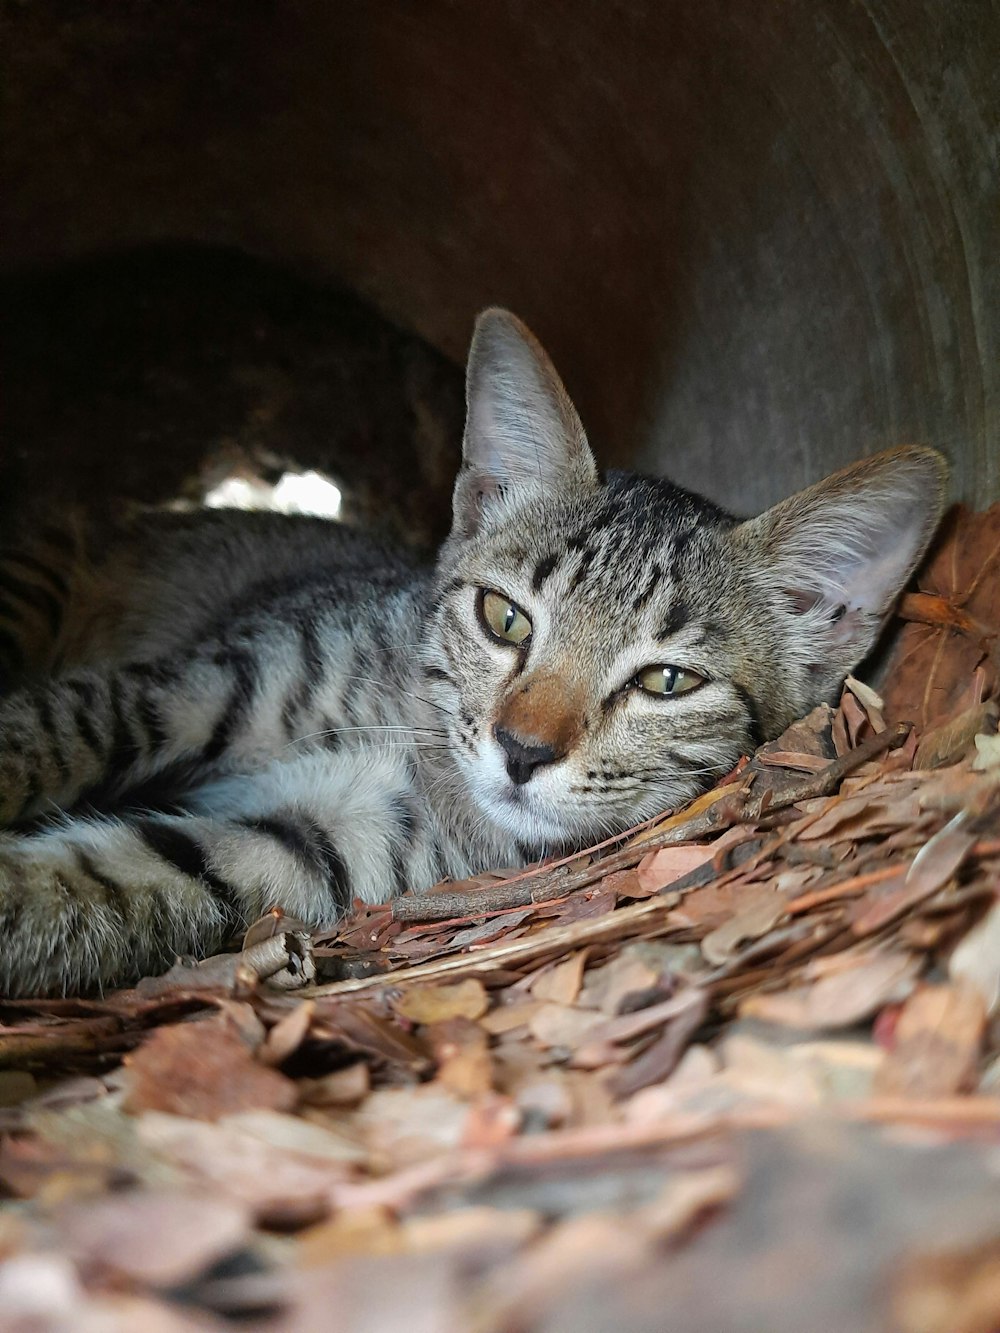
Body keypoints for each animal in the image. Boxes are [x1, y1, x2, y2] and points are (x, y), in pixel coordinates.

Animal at [0, 311, 949, 997]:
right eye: (505, 620)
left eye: (667, 680)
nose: (521, 751)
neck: (413, 744)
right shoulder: (193, 684)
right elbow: (53, 729)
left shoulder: (311, 852)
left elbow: (105, 883)